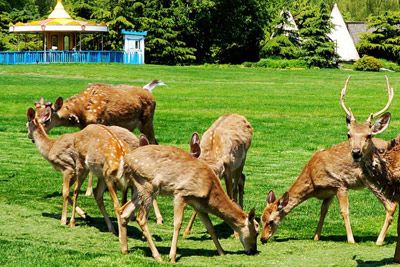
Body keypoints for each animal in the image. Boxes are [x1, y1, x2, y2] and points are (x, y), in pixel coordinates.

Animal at [117, 137, 258, 262]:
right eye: (256, 230)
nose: (253, 251)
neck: (209, 191)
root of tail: (125, 161)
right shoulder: (181, 193)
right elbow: (177, 224)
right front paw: (172, 257)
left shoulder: (198, 204)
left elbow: (210, 227)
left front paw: (222, 252)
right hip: (147, 185)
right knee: (141, 218)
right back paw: (157, 256)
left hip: (139, 188)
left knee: (124, 211)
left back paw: (125, 250)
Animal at [260, 76, 396, 246]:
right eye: (260, 219)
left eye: (271, 221)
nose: (263, 238)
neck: (312, 180)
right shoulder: (328, 192)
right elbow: (323, 211)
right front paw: (316, 236)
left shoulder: (339, 184)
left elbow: (344, 211)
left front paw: (351, 240)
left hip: (373, 178)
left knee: (391, 205)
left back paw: (379, 240)